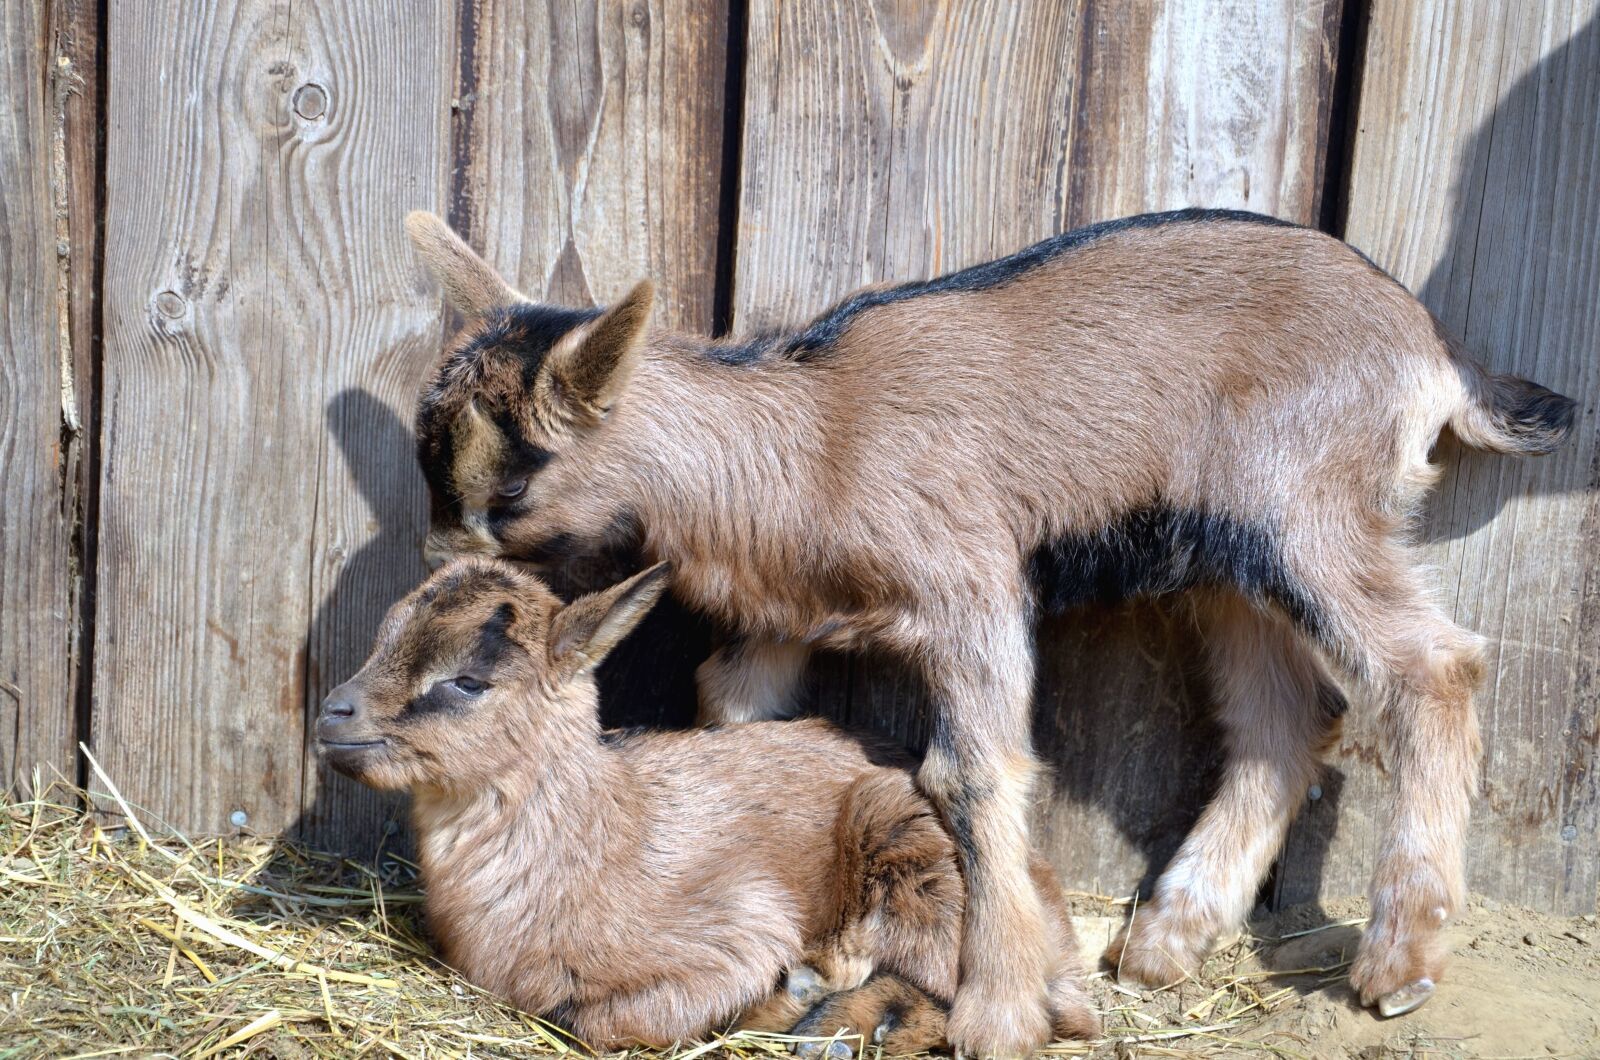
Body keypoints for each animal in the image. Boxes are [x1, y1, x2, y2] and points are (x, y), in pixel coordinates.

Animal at [315, 558, 1099, 1051]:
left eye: (468, 681)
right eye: (383, 637)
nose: (332, 714)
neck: (597, 837)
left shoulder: (739, 927)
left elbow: (592, 1020)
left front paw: (789, 995)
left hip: (915, 858)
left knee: (1020, 1010)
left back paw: (837, 1023)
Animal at [401, 207, 1577, 1052]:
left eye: (511, 488)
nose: (436, 579)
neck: (810, 438)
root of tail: (1434, 348)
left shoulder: (969, 585)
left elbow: (972, 771)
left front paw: (1001, 1011)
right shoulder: (790, 622)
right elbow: (738, 715)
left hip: (1307, 512)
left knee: (1435, 666)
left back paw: (1397, 963)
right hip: (1223, 559)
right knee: (1287, 718)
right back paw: (1168, 935)